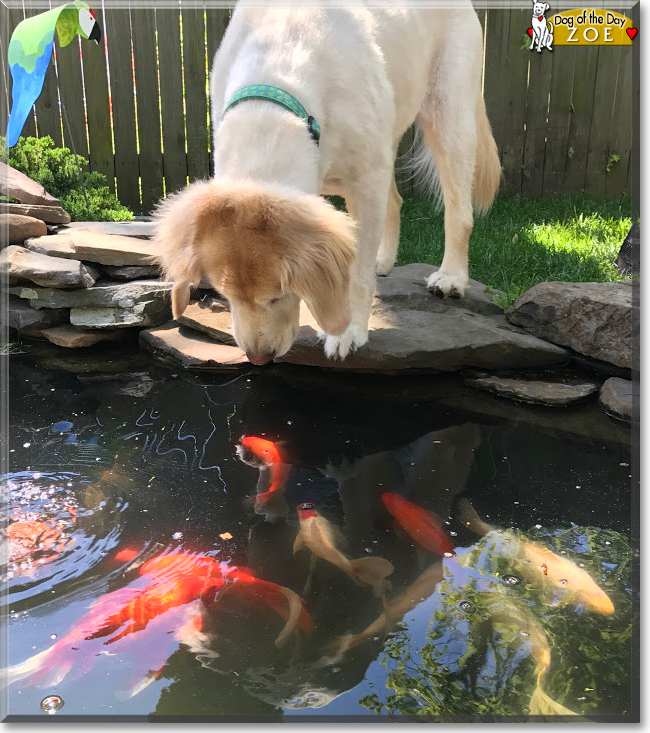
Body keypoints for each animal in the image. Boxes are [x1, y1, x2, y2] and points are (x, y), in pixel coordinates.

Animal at [154, 1, 498, 362]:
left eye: (278, 295)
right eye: (226, 294)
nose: (259, 358)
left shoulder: (366, 181)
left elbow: (356, 273)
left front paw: (347, 330)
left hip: (449, 119)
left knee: (458, 212)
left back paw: (451, 277)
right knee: (395, 201)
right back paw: (383, 260)